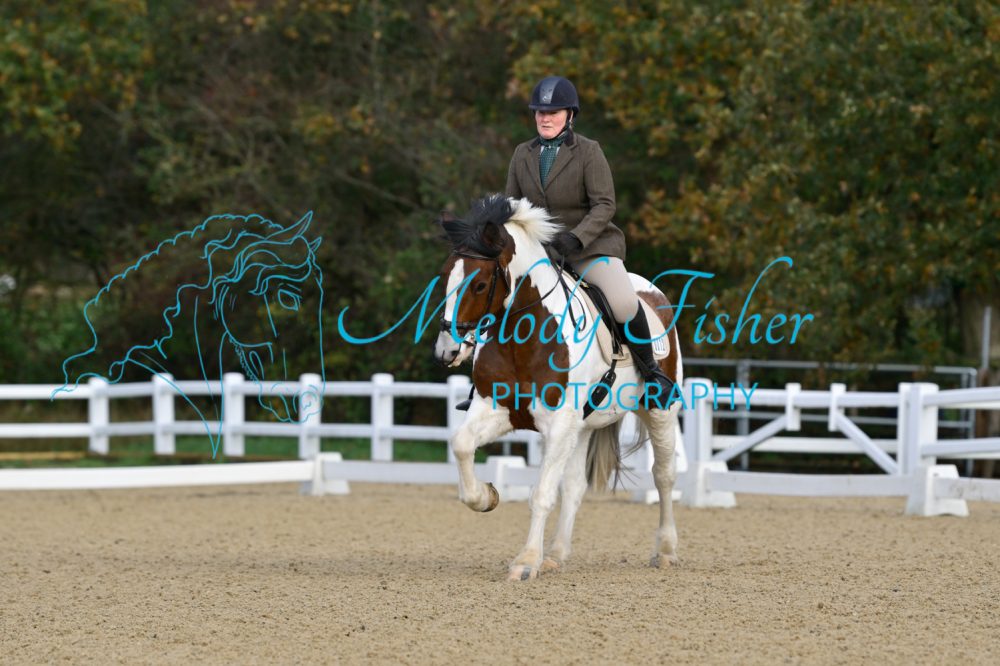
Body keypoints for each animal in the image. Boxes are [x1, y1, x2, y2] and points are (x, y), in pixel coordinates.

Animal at [433, 194, 684, 581]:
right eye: (446, 277)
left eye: (479, 285)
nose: (447, 350)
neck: (522, 336)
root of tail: (650, 291)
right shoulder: (497, 409)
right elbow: (461, 445)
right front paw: (487, 497)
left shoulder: (558, 422)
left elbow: (541, 492)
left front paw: (525, 562)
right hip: (582, 427)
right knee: (577, 485)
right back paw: (556, 553)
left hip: (659, 409)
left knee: (664, 475)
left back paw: (667, 550)